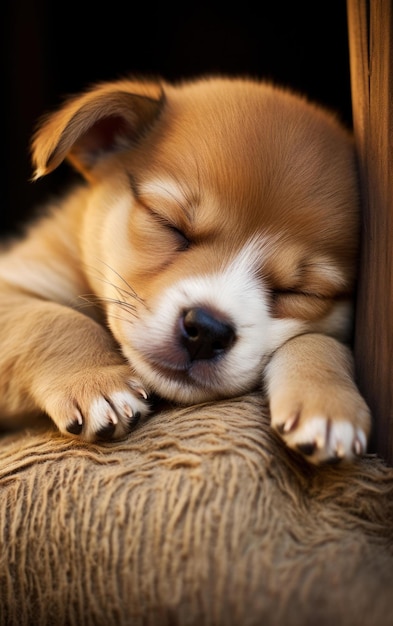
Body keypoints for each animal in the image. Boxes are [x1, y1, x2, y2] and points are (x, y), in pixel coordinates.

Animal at [0, 74, 370, 464]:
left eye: (301, 291)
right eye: (169, 225)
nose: (207, 330)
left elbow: (320, 340)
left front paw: (327, 402)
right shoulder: (18, 278)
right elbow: (51, 321)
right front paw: (96, 382)